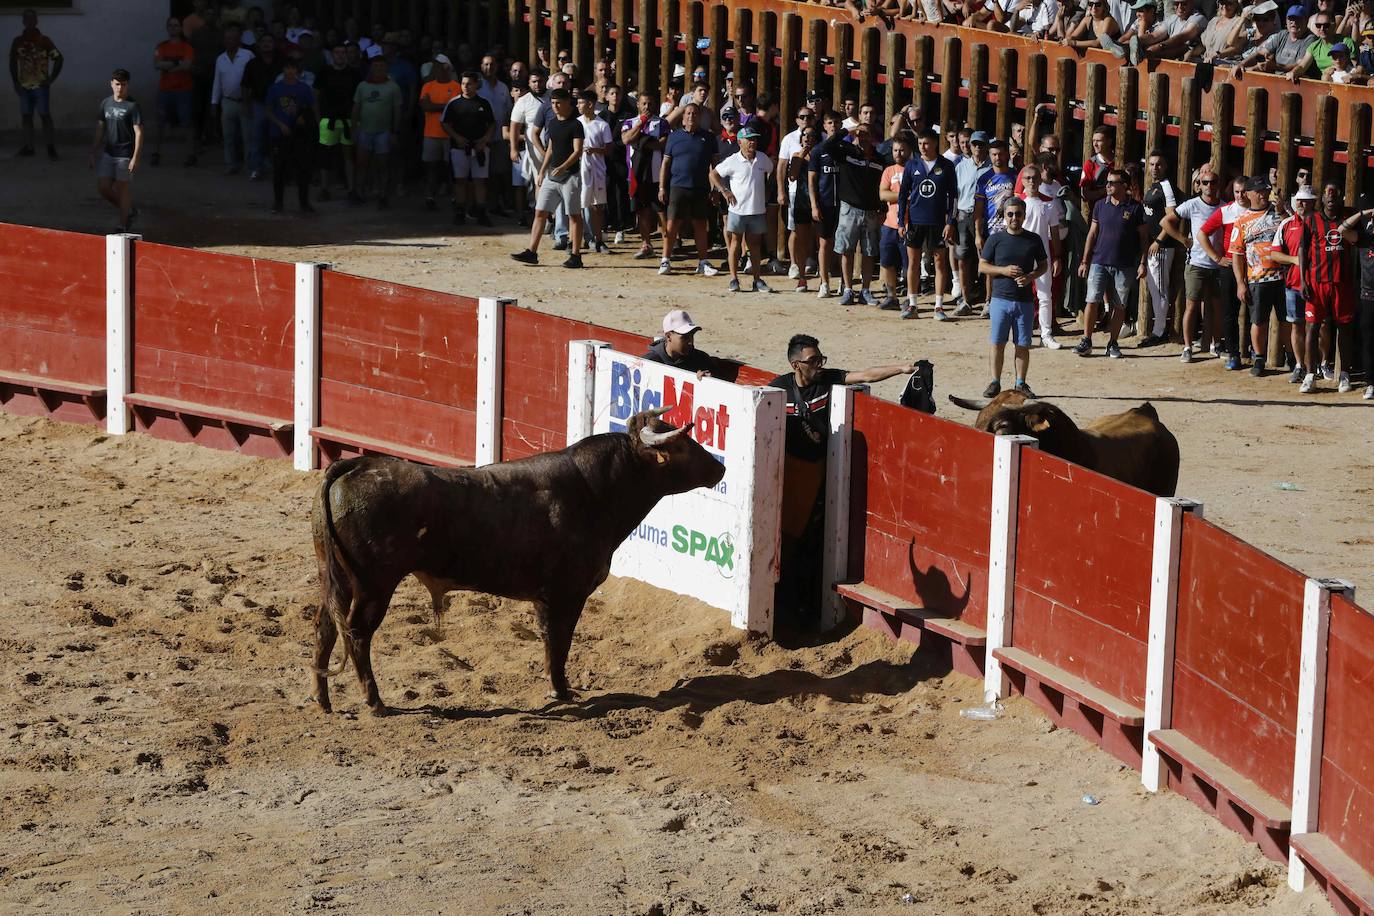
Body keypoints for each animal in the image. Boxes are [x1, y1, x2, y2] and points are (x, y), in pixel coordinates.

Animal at [309, 409, 719, 714]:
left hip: (335, 578)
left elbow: (550, 642)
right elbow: (560, 642)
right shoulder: (567, 595)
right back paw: (374, 701)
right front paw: (561, 692)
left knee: (325, 627)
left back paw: (322, 699)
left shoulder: (546, 598)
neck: (595, 491)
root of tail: (354, 467)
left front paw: (558, 688)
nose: (721, 468)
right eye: (682, 444)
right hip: (374, 585)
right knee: (356, 632)